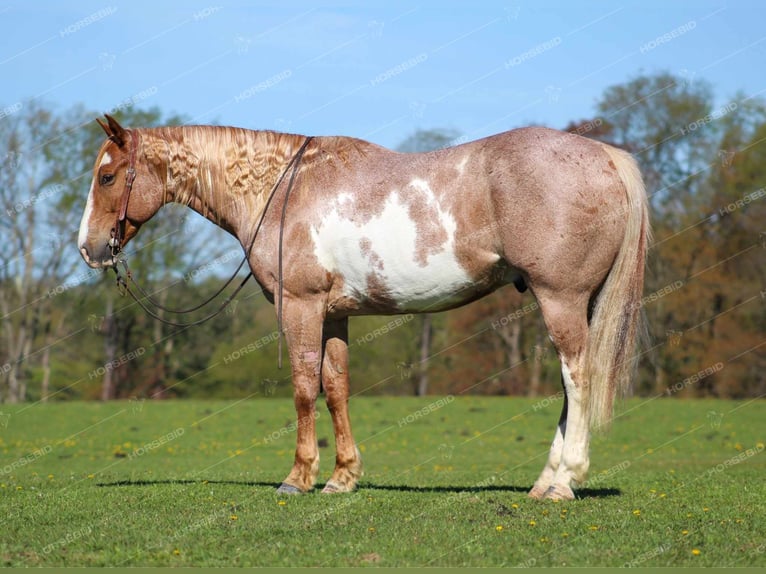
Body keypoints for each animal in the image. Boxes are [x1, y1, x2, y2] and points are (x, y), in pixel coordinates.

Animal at [81, 115, 652, 502]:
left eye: (107, 177)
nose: (88, 250)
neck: (282, 189)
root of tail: (605, 156)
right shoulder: (335, 314)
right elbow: (335, 389)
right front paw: (342, 477)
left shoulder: (301, 307)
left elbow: (303, 387)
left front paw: (298, 478)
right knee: (568, 387)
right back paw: (544, 482)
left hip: (560, 299)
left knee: (578, 377)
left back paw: (565, 481)